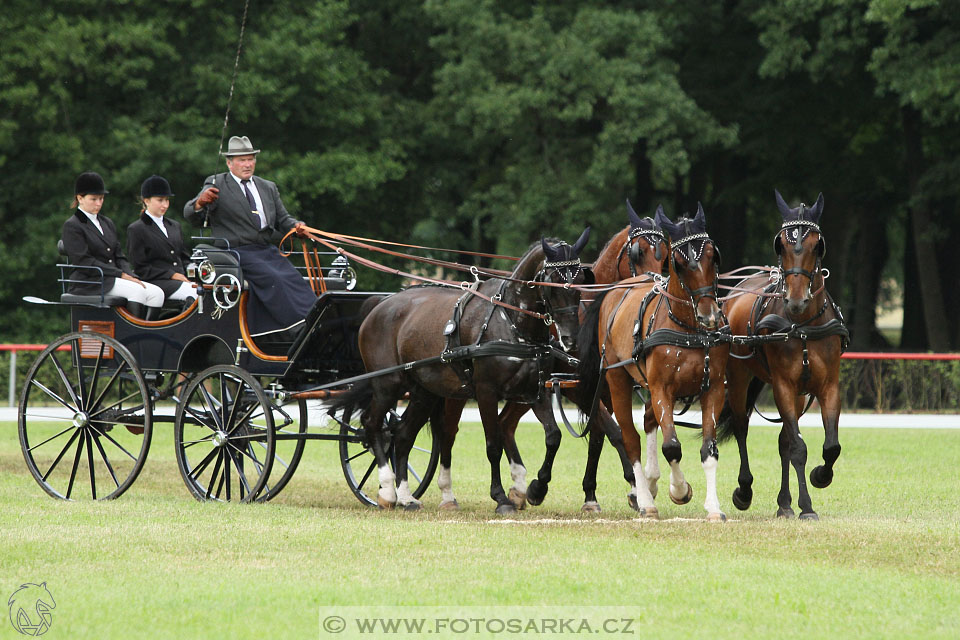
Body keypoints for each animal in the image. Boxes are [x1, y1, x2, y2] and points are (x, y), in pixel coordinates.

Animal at [330, 228, 592, 512]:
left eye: (580, 282)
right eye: (553, 281)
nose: (571, 339)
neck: (510, 321)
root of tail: (380, 304)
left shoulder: (534, 390)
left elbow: (553, 436)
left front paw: (536, 488)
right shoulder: (486, 392)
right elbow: (493, 444)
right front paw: (501, 498)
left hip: (424, 392)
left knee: (402, 435)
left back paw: (406, 497)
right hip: (387, 385)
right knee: (373, 425)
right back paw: (388, 491)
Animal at [436, 202, 668, 512]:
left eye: (665, 253)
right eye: (638, 252)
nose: (654, 286)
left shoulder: (601, 390)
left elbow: (602, 436)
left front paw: (601, 493)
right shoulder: (579, 389)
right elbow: (609, 431)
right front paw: (629, 488)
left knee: (505, 424)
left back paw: (518, 487)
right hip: (462, 391)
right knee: (452, 431)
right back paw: (451, 494)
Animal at [576, 205, 728, 520]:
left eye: (713, 255)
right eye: (679, 262)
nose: (709, 315)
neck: (688, 327)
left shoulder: (714, 389)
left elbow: (709, 450)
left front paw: (713, 507)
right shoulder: (661, 390)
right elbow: (671, 446)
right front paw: (679, 490)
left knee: (644, 423)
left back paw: (649, 483)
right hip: (617, 382)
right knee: (628, 436)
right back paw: (644, 499)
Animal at [720, 190, 848, 520]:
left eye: (818, 244)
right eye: (781, 243)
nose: (796, 301)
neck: (803, 326)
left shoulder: (827, 386)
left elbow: (830, 447)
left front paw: (819, 477)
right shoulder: (783, 386)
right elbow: (799, 448)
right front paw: (807, 507)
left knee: (784, 441)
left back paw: (784, 502)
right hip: (738, 377)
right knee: (742, 426)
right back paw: (744, 490)